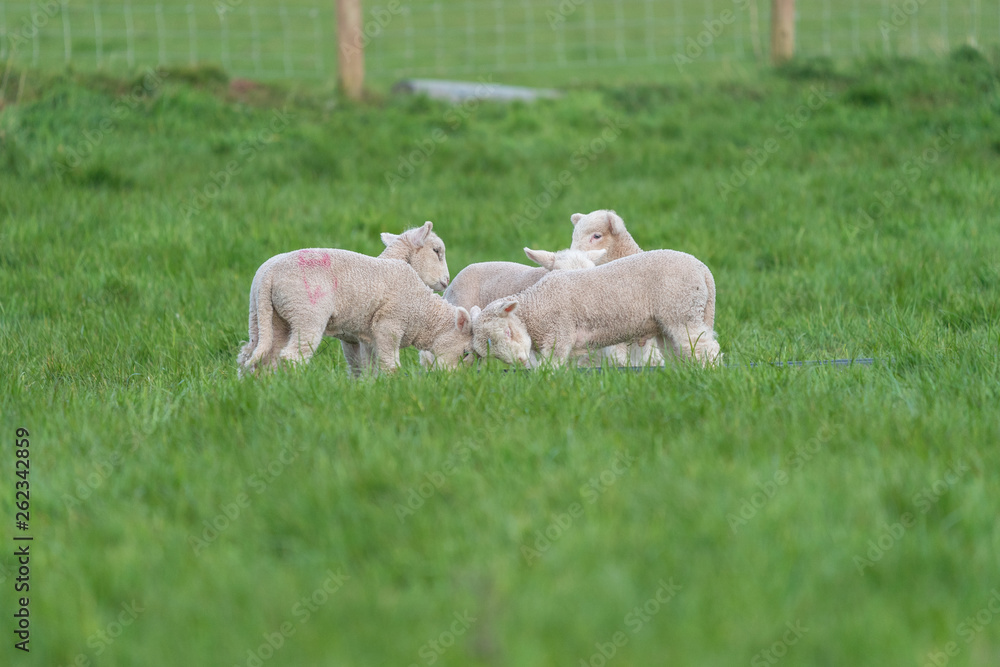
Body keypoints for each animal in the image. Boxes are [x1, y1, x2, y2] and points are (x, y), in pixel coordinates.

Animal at [469, 249, 721, 368]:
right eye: (492, 352)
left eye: (508, 332)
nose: (520, 361)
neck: (536, 305)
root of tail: (704, 270)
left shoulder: (559, 336)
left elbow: (551, 367)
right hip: (671, 322)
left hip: (683, 311)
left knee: (706, 348)